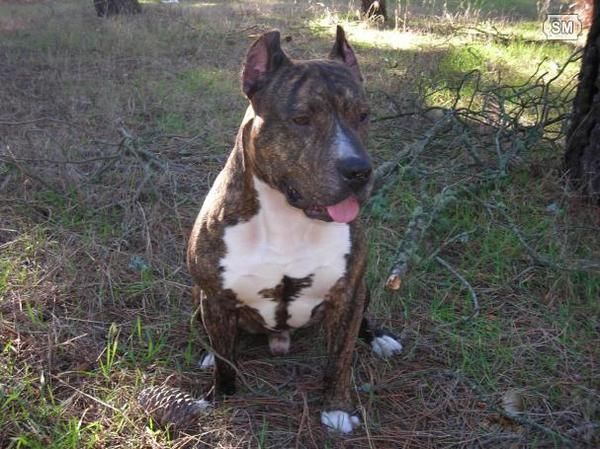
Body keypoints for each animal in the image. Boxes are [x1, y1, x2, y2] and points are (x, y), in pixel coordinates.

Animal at [186, 26, 404, 432]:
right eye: (302, 119)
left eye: (364, 115)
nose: (359, 170)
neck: (289, 217)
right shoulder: (216, 298)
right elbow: (225, 361)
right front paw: (218, 395)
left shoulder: (347, 295)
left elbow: (340, 359)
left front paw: (336, 407)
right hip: (199, 295)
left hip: (362, 291)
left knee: (362, 323)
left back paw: (379, 338)